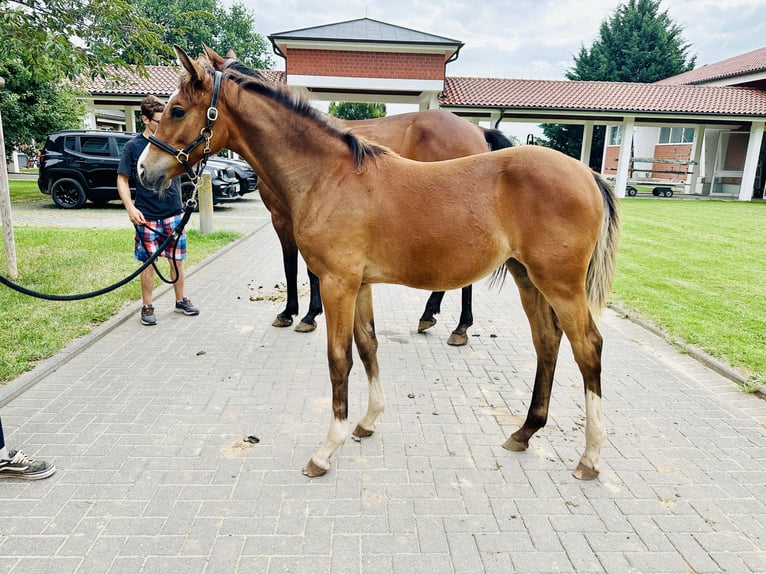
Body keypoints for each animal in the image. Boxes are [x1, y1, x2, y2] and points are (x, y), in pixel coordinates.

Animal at [211, 54, 514, 346]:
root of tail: (478, 130)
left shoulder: (284, 218)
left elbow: (294, 266)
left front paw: (297, 314)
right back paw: (430, 315)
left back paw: (459, 327)